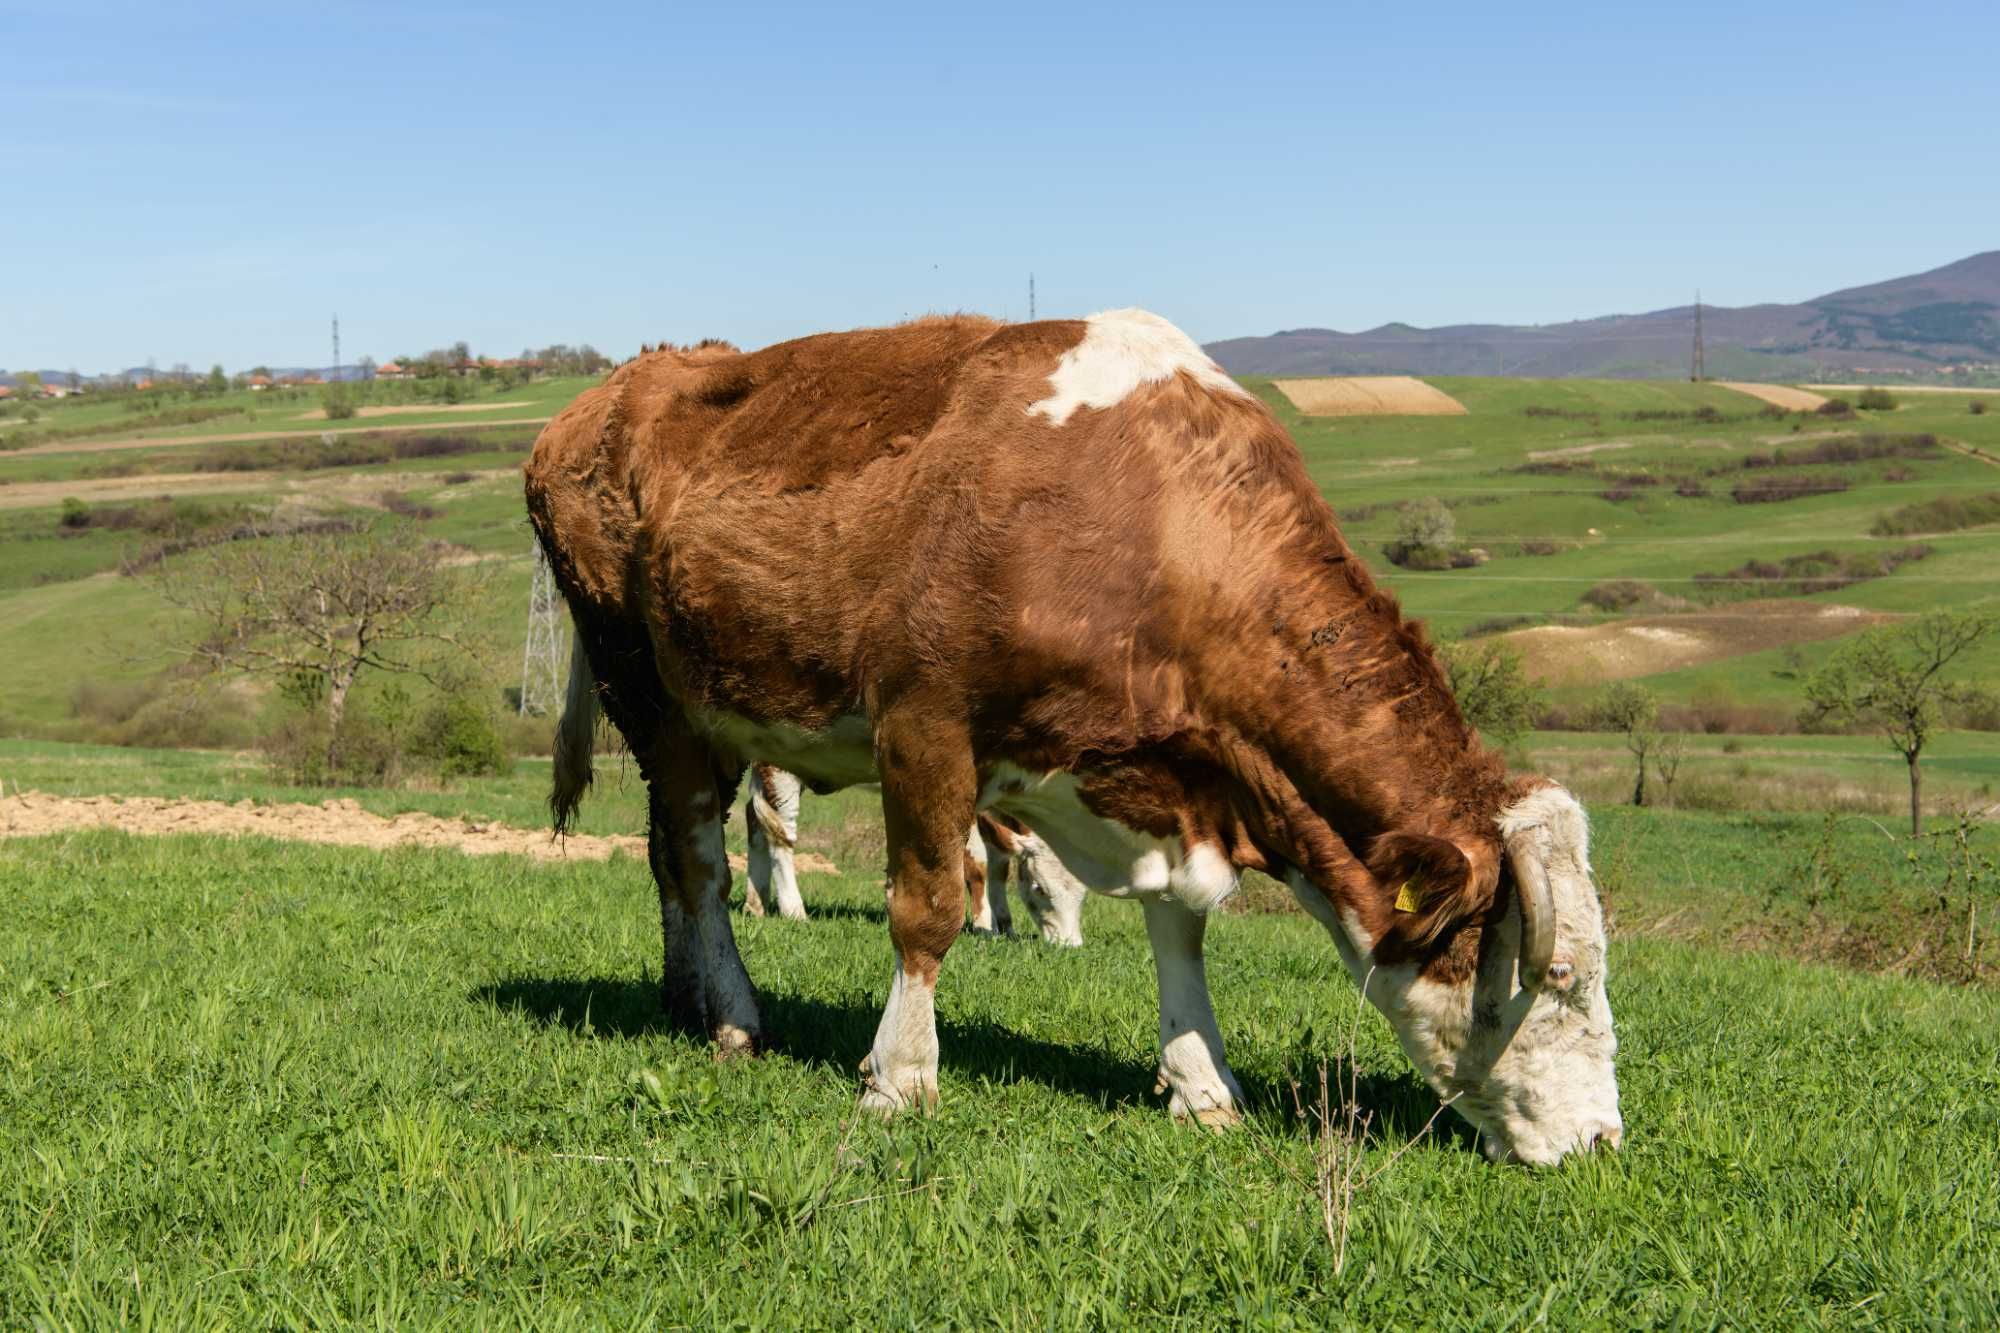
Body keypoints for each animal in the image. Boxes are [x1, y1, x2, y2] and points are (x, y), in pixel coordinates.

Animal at [740, 764, 1088, 940]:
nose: (1071, 945)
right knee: (779, 832)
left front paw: (1005, 924)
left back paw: (755, 903)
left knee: (755, 819)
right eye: (1039, 888)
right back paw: (793, 908)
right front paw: (984, 925)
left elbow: (1000, 863)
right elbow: (977, 864)